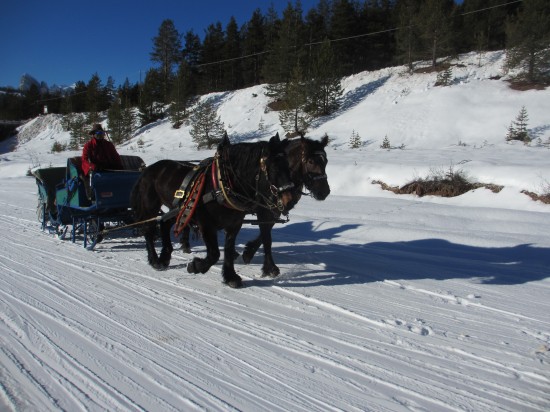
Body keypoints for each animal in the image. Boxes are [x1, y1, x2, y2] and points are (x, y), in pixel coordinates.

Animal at [130, 134, 298, 288]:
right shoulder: (206, 225)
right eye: (274, 167)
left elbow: (228, 250)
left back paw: (164, 257)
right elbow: (214, 254)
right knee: (148, 230)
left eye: (288, 166)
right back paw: (155, 260)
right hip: (151, 207)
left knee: (164, 224)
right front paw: (195, 266)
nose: (290, 200)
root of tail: (147, 169)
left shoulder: (234, 224)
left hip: (177, 209)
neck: (222, 184)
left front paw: (230, 277)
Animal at [181, 134, 330, 278]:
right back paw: (185, 244)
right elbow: (266, 237)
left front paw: (249, 252)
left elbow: (265, 233)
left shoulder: (273, 211)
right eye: (311, 162)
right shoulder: (263, 211)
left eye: (326, 162)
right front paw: (268, 267)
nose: (325, 192)